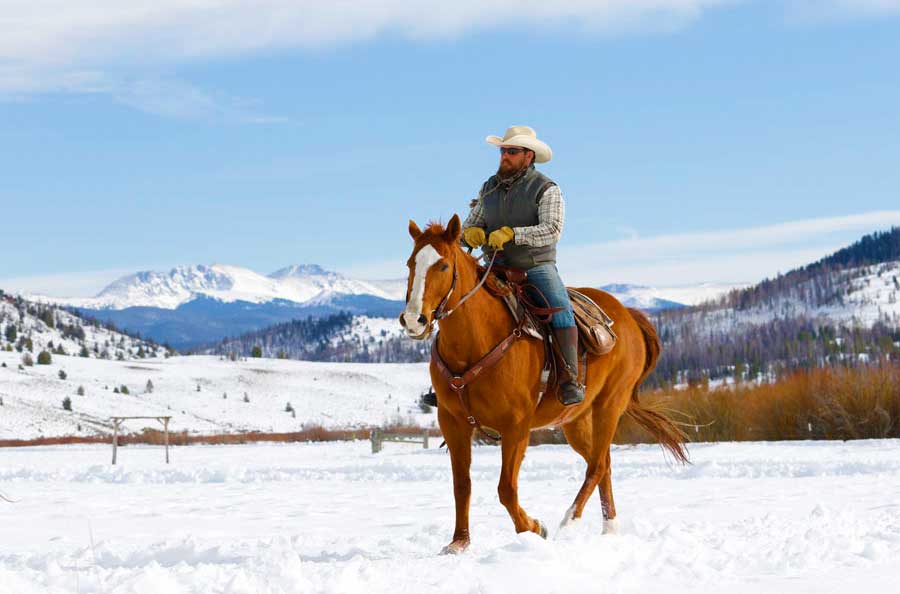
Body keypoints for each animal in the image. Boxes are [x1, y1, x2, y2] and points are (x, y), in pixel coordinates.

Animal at [400, 215, 688, 552]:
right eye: (410, 263)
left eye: (443, 266)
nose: (413, 320)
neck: (476, 338)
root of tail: (628, 315)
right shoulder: (452, 422)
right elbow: (462, 485)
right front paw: (459, 543)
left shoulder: (516, 426)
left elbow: (506, 488)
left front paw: (534, 528)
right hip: (575, 421)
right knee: (603, 462)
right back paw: (609, 529)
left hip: (609, 405)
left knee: (596, 466)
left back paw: (570, 520)